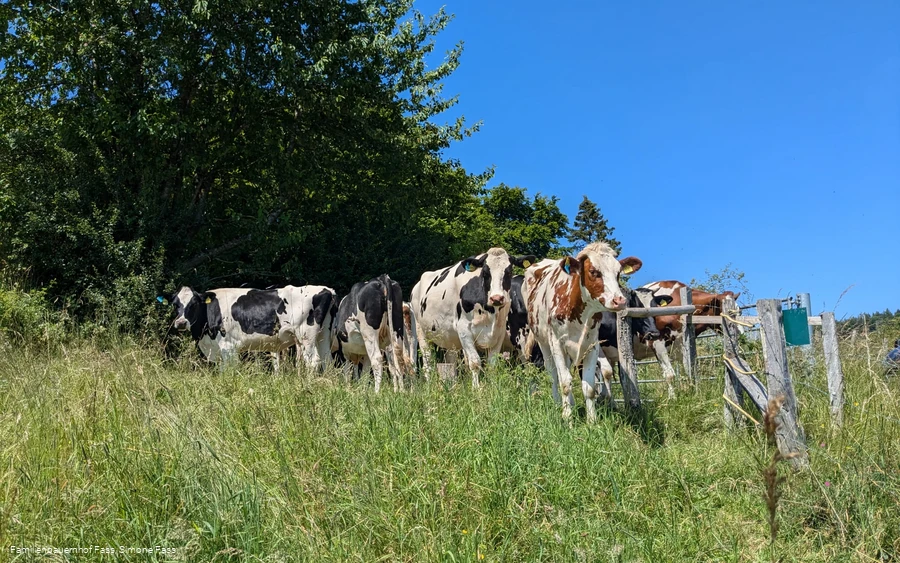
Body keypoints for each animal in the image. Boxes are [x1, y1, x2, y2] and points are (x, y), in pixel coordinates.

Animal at [165, 285, 337, 370]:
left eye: (194, 304)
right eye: (175, 304)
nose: (181, 323)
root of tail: (327, 290)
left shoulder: (228, 347)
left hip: (306, 336)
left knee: (313, 361)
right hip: (323, 335)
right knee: (327, 360)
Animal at [410, 248, 536, 387]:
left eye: (509, 271)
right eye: (485, 272)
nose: (497, 298)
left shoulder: (500, 332)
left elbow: (492, 365)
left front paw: (493, 387)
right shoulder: (465, 331)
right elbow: (475, 363)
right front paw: (476, 389)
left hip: (450, 338)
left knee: (451, 362)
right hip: (422, 332)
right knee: (428, 363)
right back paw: (431, 385)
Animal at [522, 242, 643, 421]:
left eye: (618, 273)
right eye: (593, 272)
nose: (619, 300)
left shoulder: (591, 345)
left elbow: (589, 387)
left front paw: (591, 420)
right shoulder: (557, 344)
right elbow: (565, 383)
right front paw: (567, 418)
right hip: (543, 342)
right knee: (554, 374)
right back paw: (559, 404)